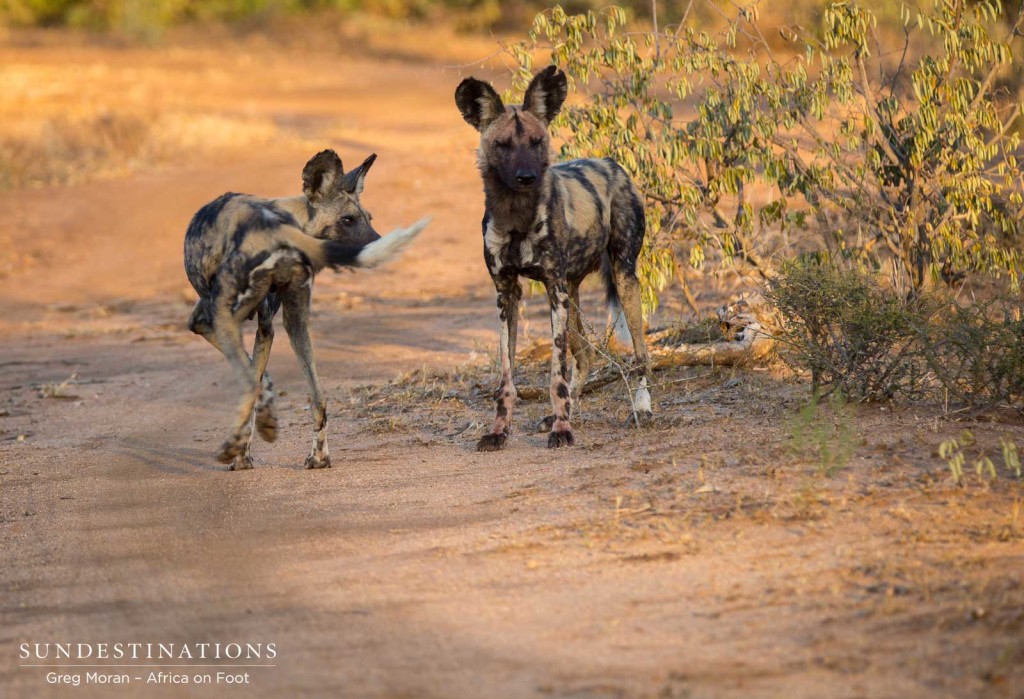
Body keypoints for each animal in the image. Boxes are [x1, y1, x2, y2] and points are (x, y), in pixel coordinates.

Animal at [185, 149, 428, 470]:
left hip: (224, 315)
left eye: (366, 219)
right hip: (295, 323)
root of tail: (277, 228)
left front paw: (243, 448)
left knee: (249, 382)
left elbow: (252, 375)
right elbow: (259, 373)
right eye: (349, 219)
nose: (377, 242)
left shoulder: (206, 320)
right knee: (318, 397)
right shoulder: (269, 326)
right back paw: (318, 456)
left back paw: (233, 446)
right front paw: (255, 435)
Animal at [458, 67, 655, 454]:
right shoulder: (507, 295)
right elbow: (506, 378)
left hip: (622, 279)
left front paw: (562, 430)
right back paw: (568, 410)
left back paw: (641, 409)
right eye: (503, 144)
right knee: (587, 353)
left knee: (639, 353)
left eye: (536, 142)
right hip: (572, 294)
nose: (526, 177)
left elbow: (555, 373)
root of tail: (609, 162)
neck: (516, 217)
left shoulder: (554, 290)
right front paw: (499, 431)